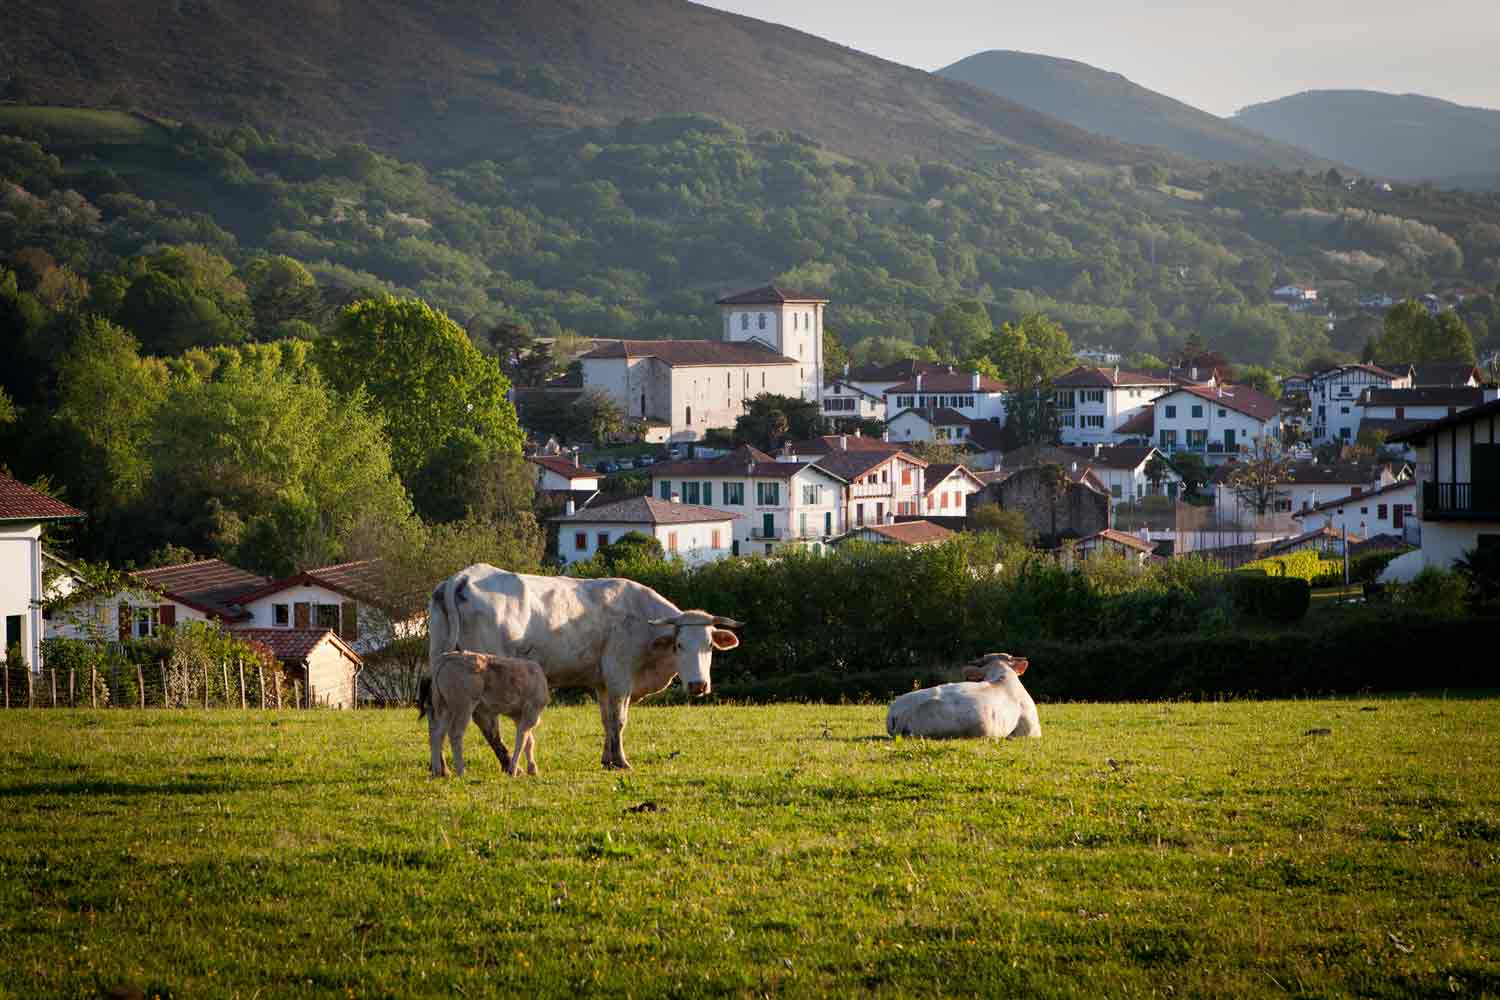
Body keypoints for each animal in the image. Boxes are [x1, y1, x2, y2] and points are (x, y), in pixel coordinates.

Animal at [423, 650, 552, 779]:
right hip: (463, 705)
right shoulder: (532, 712)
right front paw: (513, 771)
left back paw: (437, 772)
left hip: (443, 706)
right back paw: (461, 772)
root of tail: (448, 656)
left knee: (437, 734)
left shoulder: (519, 716)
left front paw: (532, 769)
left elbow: (529, 742)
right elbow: (521, 742)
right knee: (455, 733)